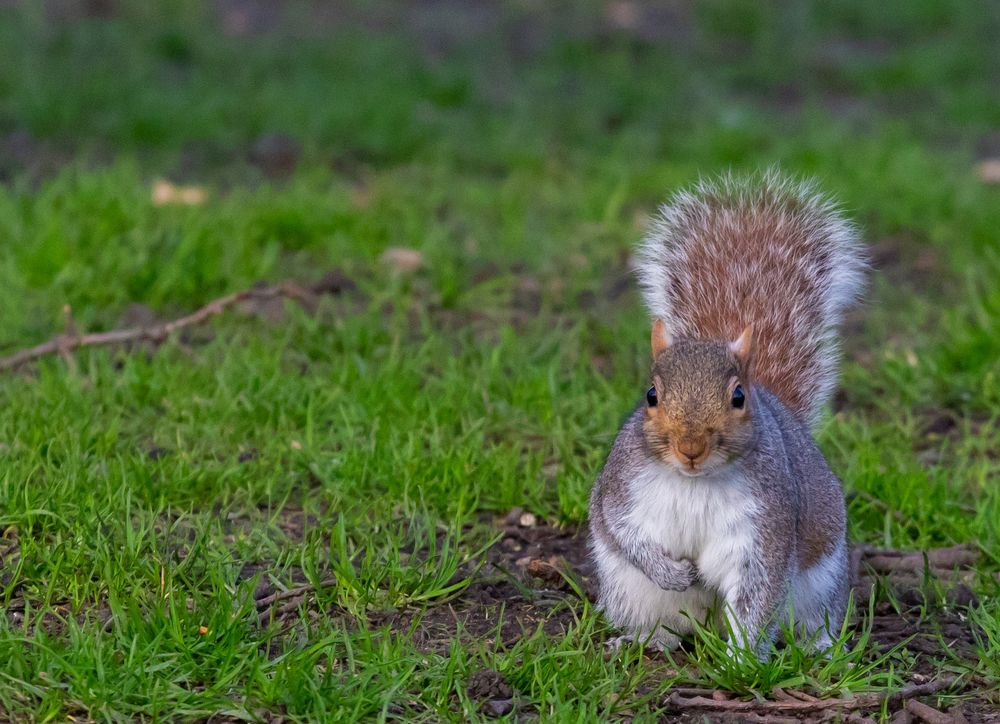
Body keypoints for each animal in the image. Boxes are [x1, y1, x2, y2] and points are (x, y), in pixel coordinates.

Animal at [589, 170, 866, 658]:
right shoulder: (624, 488)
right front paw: (672, 572)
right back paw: (640, 640)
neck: (695, 482)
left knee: (808, 619)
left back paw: (818, 646)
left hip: (820, 586)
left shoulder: (764, 531)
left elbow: (758, 597)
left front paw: (740, 663)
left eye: (738, 397)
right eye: (651, 395)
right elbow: (623, 529)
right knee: (668, 628)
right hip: (631, 590)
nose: (691, 448)